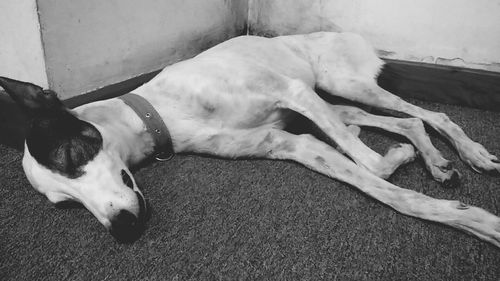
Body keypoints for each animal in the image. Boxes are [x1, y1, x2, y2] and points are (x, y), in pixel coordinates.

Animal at [0, 31, 500, 244]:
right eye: (63, 204)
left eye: (69, 155)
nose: (122, 229)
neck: (162, 111)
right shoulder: (293, 144)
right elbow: (379, 179)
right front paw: (470, 217)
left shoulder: (292, 93)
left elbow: (372, 165)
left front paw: (482, 223)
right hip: (332, 101)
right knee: (405, 122)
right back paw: (437, 162)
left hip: (338, 84)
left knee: (429, 113)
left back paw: (472, 153)